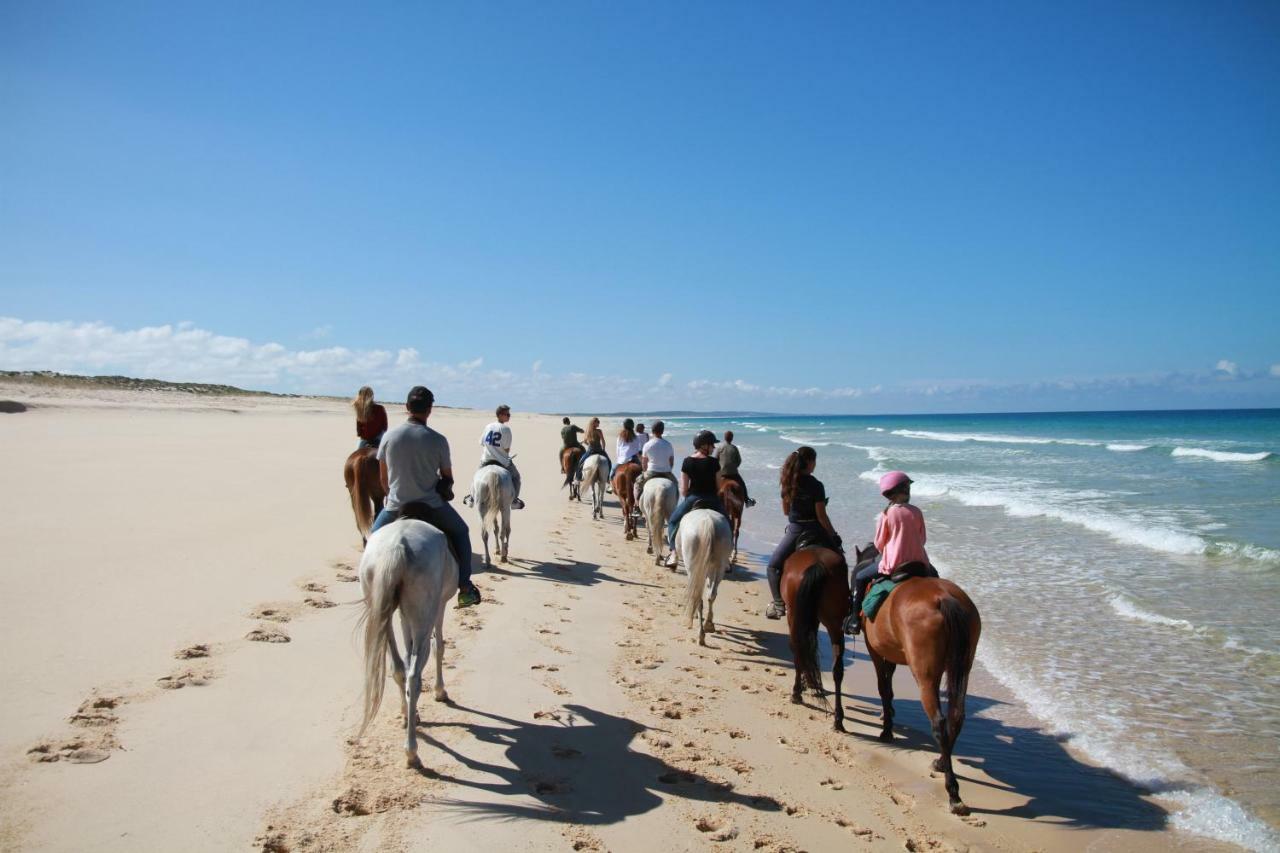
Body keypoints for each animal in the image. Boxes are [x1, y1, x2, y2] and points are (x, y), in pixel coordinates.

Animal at [358, 514, 458, 768]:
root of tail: (397, 545)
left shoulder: (404, 615)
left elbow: (405, 654)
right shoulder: (439, 607)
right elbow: (439, 646)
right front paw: (440, 691)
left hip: (381, 611)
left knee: (398, 668)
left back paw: (407, 716)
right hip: (424, 614)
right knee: (413, 676)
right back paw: (412, 751)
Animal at [675, 507, 737, 640]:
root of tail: (708, 523)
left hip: (693, 567)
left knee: (697, 595)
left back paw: (701, 633)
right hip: (719, 567)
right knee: (711, 594)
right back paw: (708, 624)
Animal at [778, 540, 849, 727]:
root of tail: (817, 564)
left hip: (794, 615)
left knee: (797, 651)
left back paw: (796, 693)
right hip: (835, 623)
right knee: (837, 667)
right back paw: (838, 718)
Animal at [855, 540, 983, 814]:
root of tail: (944, 598)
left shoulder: (875, 651)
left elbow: (884, 687)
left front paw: (887, 729)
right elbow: (889, 685)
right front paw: (888, 718)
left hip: (925, 675)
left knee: (939, 722)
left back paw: (953, 792)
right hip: (963, 667)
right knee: (956, 716)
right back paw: (942, 764)